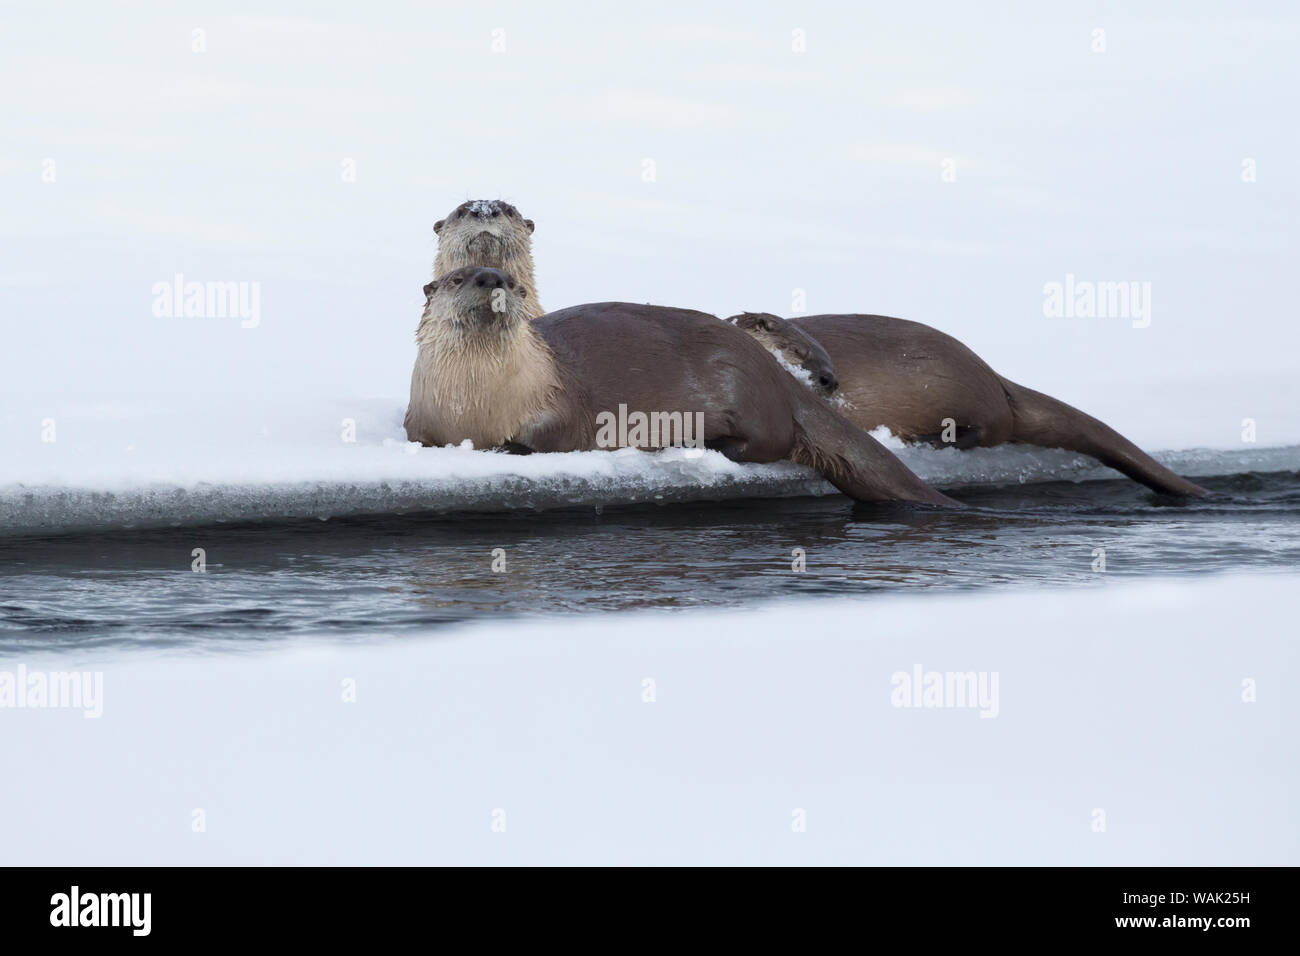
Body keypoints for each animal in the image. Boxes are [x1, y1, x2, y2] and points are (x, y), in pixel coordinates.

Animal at [405, 265, 967, 509]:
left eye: (512, 282)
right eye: (457, 278)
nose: (493, 278)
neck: (474, 402)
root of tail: (776, 374)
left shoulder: (559, 404)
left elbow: (548, 437)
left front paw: (506, 447)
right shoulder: (421, 415)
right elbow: (418, 438)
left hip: (743, 387)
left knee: (774, 441)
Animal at [733, 316, 1206, 502]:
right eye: (796, 350)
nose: (829, 379)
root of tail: (994, 376)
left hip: (960, 388)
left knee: (989, 430)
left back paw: (927, 441)